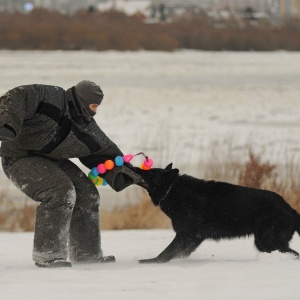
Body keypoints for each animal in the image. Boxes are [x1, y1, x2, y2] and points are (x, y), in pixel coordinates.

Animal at [134, 164, 300, 262]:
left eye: (150, 173)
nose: (134, 167)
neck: (172, 189)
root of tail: (288, 208)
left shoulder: (185, 235)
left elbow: (166, 252)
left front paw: (150, 262)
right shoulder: (193, 238)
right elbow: (177, 253)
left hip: (265, 240)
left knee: (293, 253)